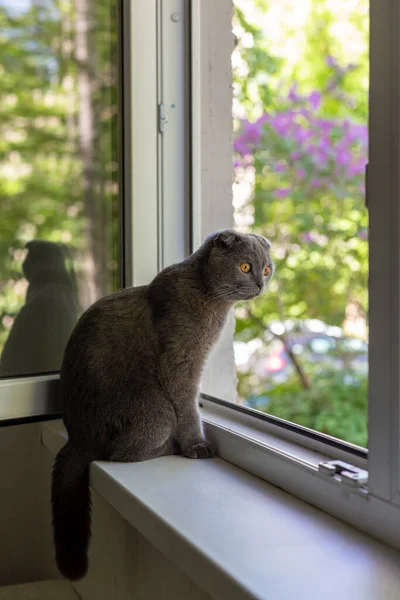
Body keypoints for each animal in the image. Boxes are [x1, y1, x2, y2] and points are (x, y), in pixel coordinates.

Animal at [51, 227, 274, 580]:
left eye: (266, 269)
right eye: (245, 267)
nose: (261, 284)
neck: (208, 296)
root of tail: (77, 439)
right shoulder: (180, 362)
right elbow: (188, 407)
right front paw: (197, 445)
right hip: (154, 409)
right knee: (121, 453)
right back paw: (170, 447)